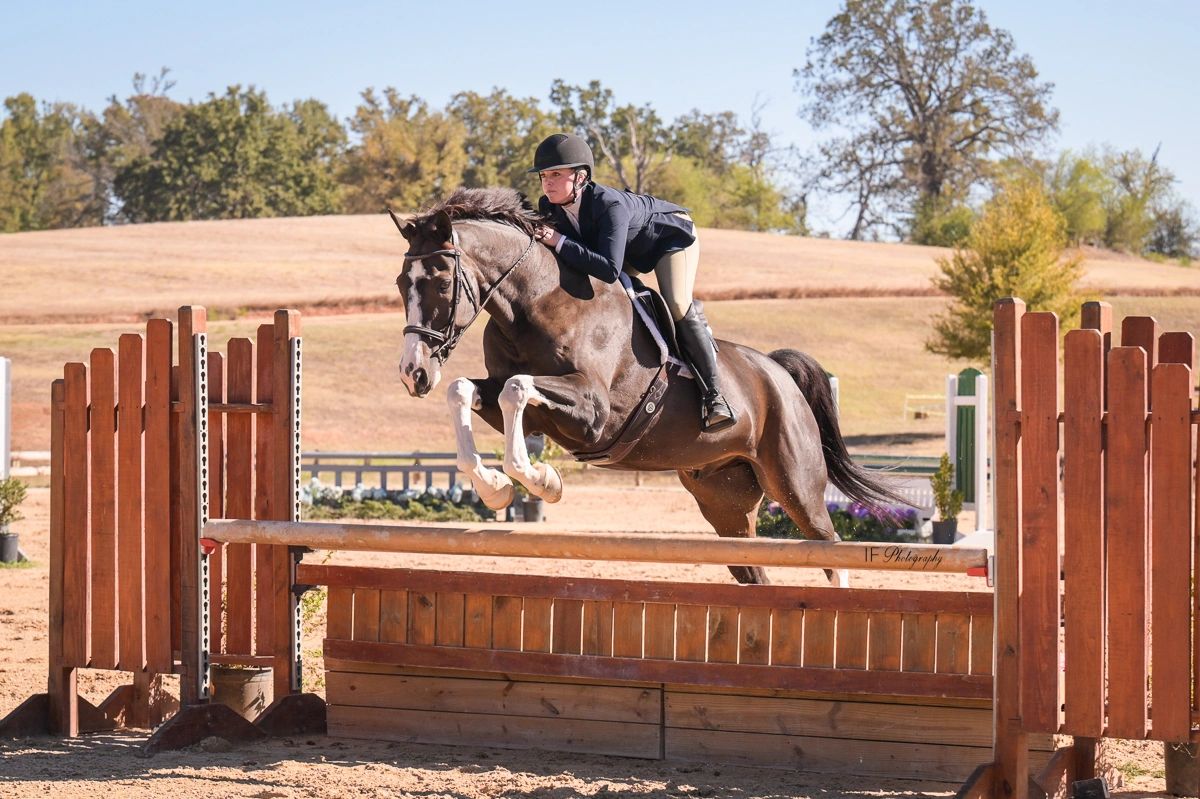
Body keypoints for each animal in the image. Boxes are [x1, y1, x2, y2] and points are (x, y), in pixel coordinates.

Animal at [393, 187, 903, 585]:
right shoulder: (525, 404)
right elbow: (466, 389)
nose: (412, 373)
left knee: (830, 551)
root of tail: (778, 373)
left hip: (795, 483)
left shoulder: (593, 412)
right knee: (753, 566)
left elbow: (516, 388)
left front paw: (544, 481)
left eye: (441, 283)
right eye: (401, 283)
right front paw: (496, 488)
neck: (534, 302)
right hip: (724, 501)